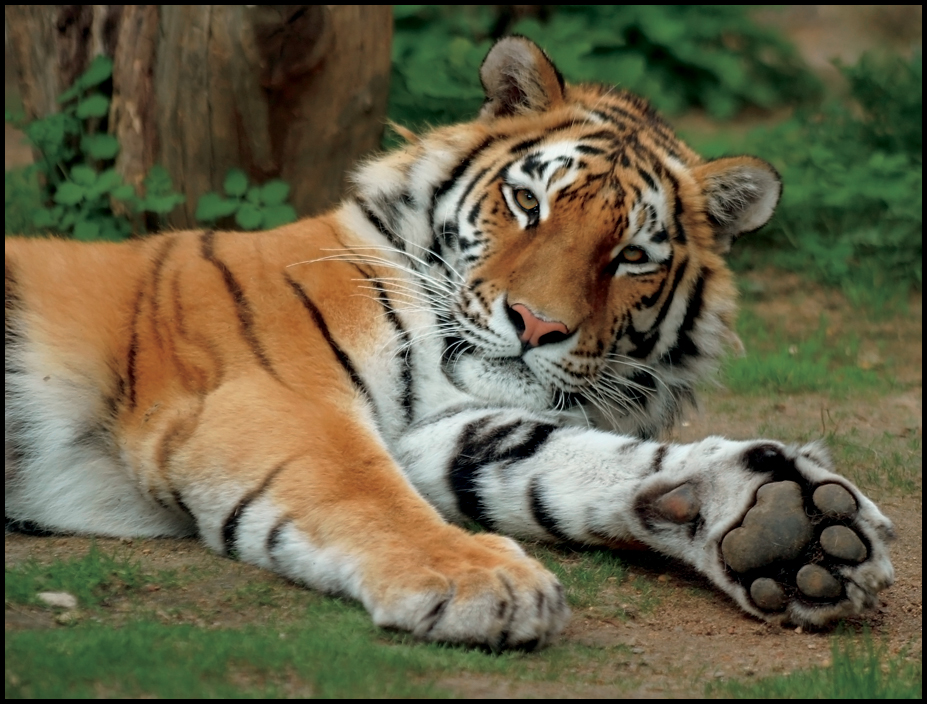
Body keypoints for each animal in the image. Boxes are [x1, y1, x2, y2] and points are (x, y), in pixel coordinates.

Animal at [3, 35, 896, 648]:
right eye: (529, 202)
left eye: (631, 257)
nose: (536, 324)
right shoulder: (274, 395)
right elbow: (362, 492)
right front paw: (483, 582)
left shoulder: (444, 430)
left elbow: (571, 463)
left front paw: (785, 523)